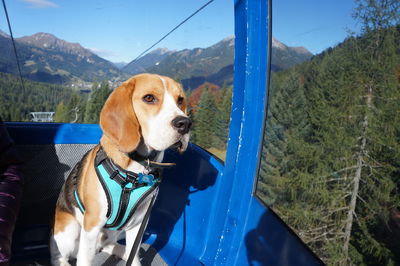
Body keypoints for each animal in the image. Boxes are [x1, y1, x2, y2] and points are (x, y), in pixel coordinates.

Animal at [49, 73, 191, 266]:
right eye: (149, 98)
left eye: (180, 100)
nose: (185, 123)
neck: (136, 172)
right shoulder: (92, 225)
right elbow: (84, 259)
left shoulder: (139, 223)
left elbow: (133, 250)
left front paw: (134, 259)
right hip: (70, 231)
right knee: (59, 255)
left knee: (110, 246)